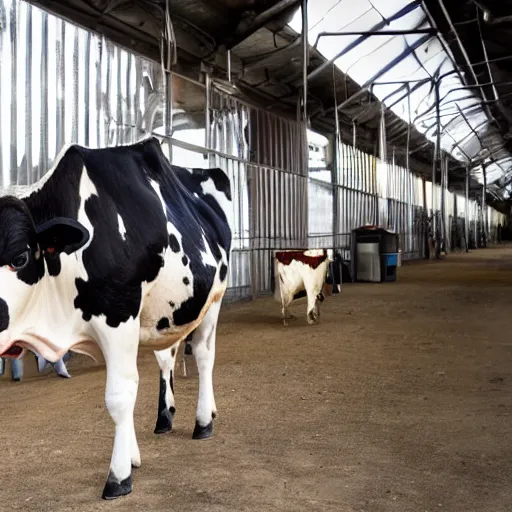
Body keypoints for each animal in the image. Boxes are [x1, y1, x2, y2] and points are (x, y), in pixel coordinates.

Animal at [0, 137, 230, 500]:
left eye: (19, 257)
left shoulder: (118, 315)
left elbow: (119, 395)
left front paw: (119, 476)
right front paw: (132, 457)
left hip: (214, 298)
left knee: (205, 356)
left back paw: (204, 421)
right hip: (165, 313)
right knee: (166, 358)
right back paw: (165, 417)